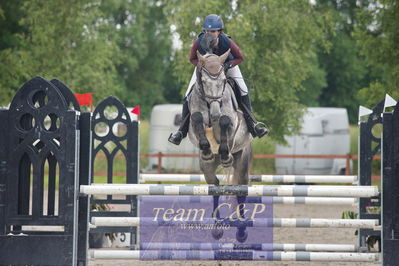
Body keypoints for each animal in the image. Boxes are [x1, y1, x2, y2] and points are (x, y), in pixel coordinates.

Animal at [188, 47, 253, 243]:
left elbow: (225, 122)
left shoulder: (231, 121)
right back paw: (217, 227)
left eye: (223, 81)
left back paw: (241, 230)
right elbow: (197, 119)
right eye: (204, 81)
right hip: (207, 168)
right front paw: (207, 149)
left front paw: (225, 154)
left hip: (242, 161)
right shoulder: (195, 120)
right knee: (215, 186)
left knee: (240, 190)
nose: (215, 113)